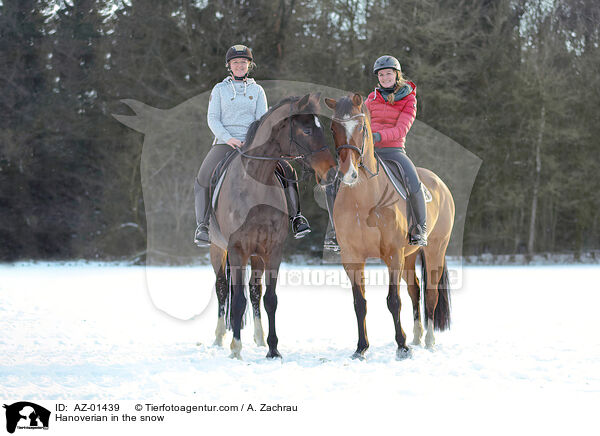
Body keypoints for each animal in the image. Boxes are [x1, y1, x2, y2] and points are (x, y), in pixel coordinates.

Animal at [209, 93, 336, 360]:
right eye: (307, 130)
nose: (331, 172)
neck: (255, 183)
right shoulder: (236, 250)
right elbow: (237, 300)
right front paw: (236, 349)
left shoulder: (273, 250)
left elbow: (270, 299)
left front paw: (273, 348)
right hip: (217, 249)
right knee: (222, 288)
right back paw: (219, 337)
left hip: (257, 255)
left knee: (255, 291)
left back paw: (258, 338)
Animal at [326, 93, 458, 360]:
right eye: (333, 127)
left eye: (362, 127)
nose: (348, 174)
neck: (363, 198)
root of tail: (438, 182)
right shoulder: (352, 258)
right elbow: (360, 303)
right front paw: (361, 348)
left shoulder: (392, 255)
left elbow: (393, 300)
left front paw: (402, 347)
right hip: (410, 256)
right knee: (415, 290)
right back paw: (417, 337)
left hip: (434, 250)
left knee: (431, 293)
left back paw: (429, 341)